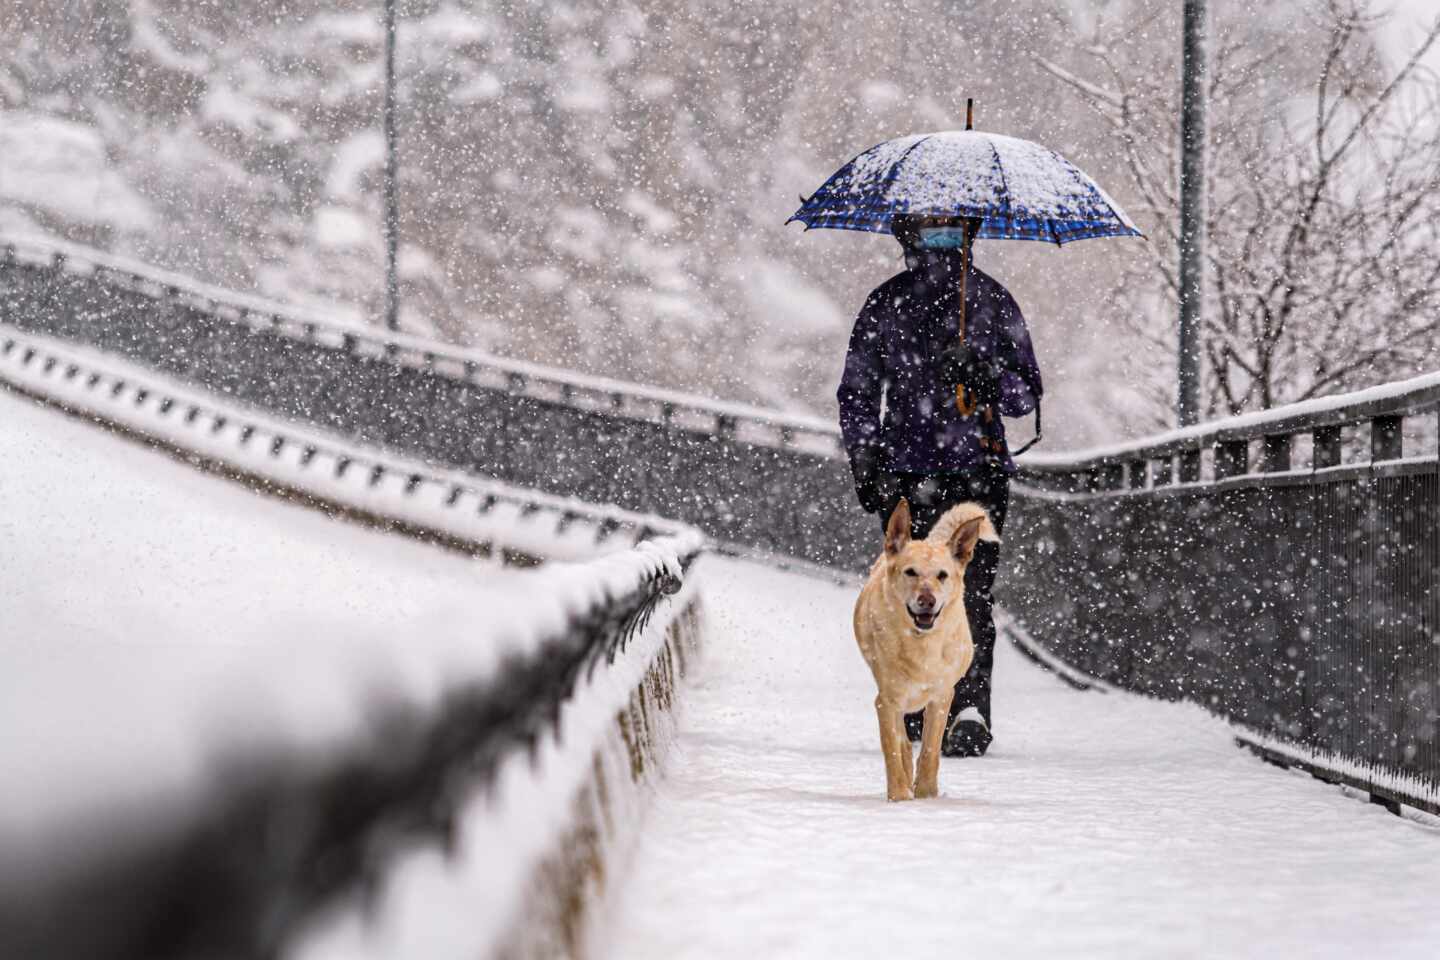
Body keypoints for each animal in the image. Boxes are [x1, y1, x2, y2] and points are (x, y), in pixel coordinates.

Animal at [852, 500, 1002, 800]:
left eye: (942, 575)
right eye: (910, 572)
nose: (927, 600)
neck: (921, 643)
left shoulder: (942, 696)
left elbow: (931, 750)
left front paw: (926, 795)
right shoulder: (887, 700)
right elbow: (893, 750)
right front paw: (900, 796)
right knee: (903, 742)